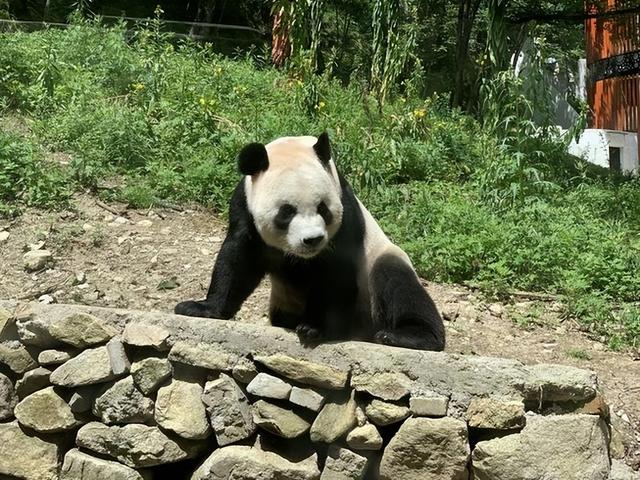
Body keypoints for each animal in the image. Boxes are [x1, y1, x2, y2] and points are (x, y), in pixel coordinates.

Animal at [175, 133, 444, 350]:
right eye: (287, 212)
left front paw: (315, 328)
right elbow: (238, 260)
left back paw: (407, 337)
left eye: (323, 208)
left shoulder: (345, 211)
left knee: (397, 283)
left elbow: (336, 273)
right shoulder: (245, 208)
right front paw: (202, 309)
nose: (312, 240)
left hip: (378, 261)